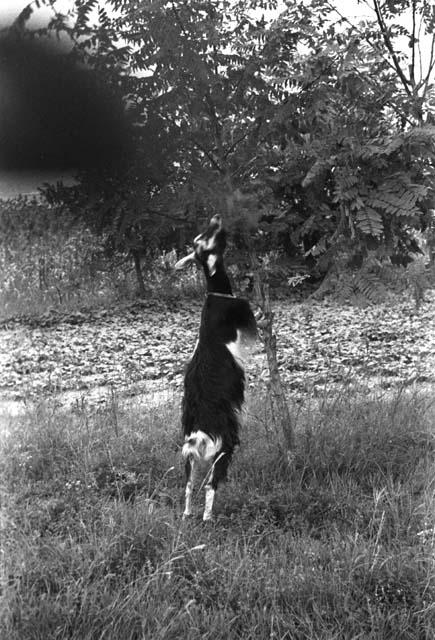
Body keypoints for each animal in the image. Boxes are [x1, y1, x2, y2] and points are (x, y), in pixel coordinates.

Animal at [175, 215, 258, 520]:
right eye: (206, 239)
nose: (216, 218)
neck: (216, 294)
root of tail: (199, 433)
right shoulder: (245, 322)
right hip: (225, 447)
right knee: (211, 485)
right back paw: (208, 518)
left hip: (190, 459)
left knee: (188, 486)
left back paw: (187, 515)